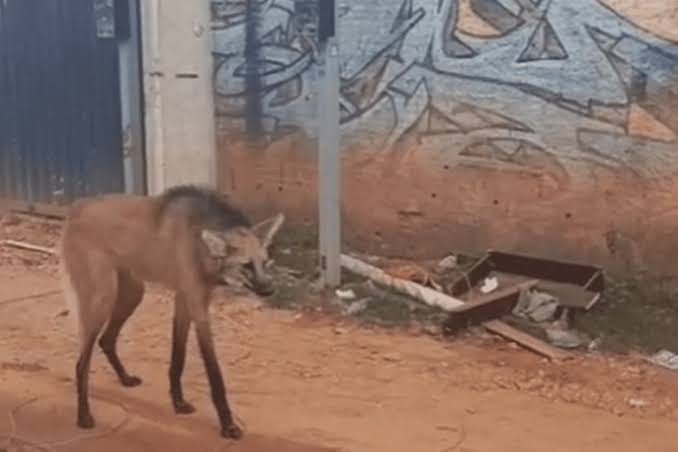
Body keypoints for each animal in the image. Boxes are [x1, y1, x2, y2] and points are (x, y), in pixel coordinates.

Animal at [58, 184, 284, 440]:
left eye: (265, 263)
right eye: (246, 265)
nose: (270, 289)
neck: (200, 244)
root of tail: (76, 207)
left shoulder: (184, 299)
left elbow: (178, 356)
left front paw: (178, 402)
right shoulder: (196, 304)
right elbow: (214, 372)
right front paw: (227, 425)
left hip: (133, 294)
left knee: (106, 340)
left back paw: (125, 378)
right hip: (101, 299)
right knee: (81, 362)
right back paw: (84, 416)